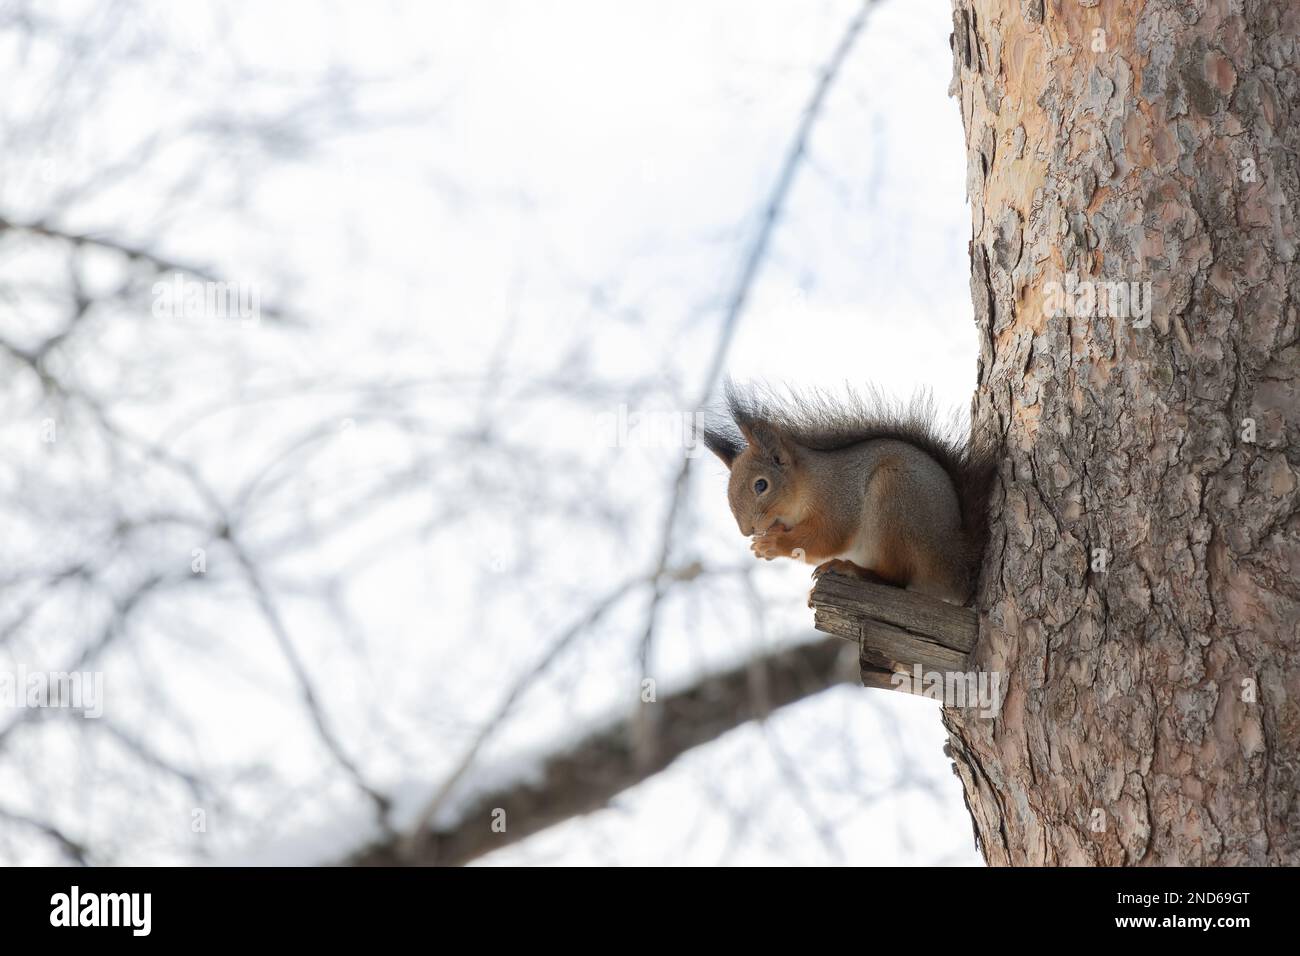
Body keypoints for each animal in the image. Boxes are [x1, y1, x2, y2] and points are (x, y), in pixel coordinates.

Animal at [701, 382, 997, 605]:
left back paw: (851, 570)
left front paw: (771, 544)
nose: (747, 531)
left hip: (894, 497)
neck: (806, 483)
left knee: (895, 579)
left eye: (761, 485)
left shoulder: (837, 497)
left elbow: (826, 537)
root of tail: (957, 567)